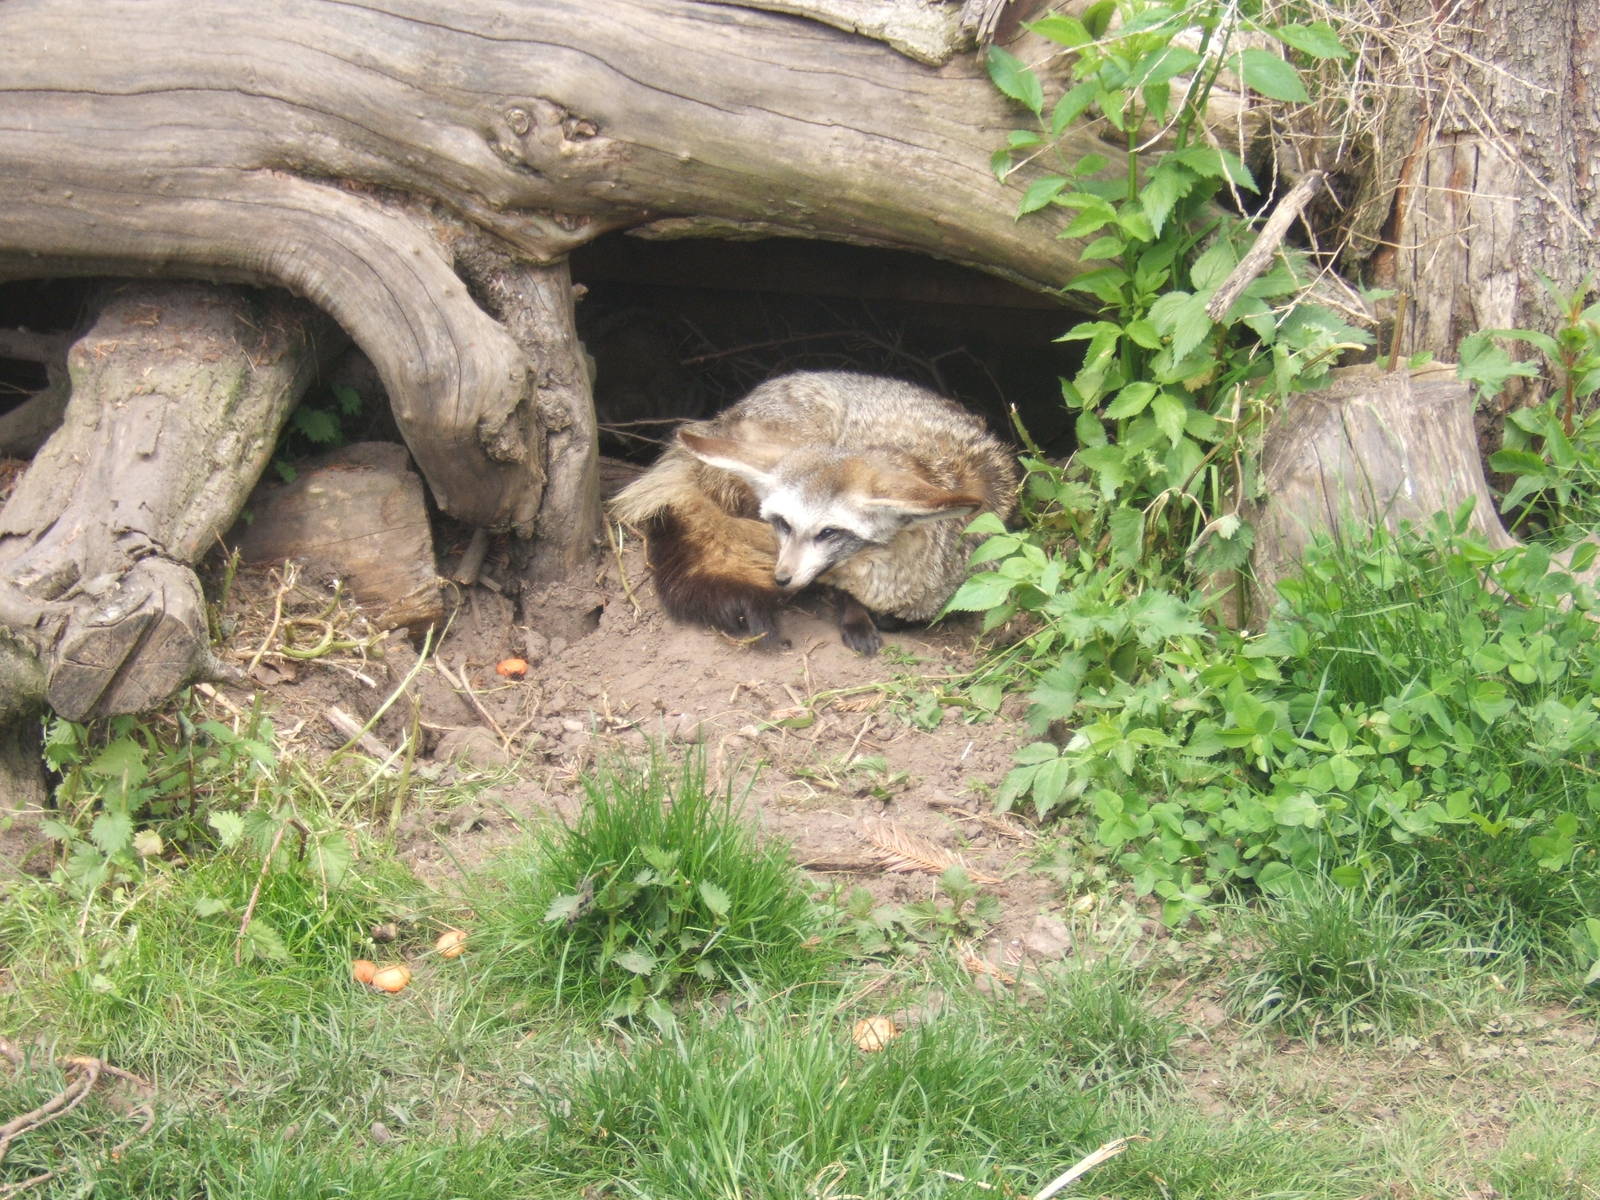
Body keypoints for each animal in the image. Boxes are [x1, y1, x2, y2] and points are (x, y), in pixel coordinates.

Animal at [610, 370, 1019, 655]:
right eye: (782, 524)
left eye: (828, 532)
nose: (781, 578)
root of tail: (719, 418)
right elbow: (843, 593)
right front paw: (855, 616)